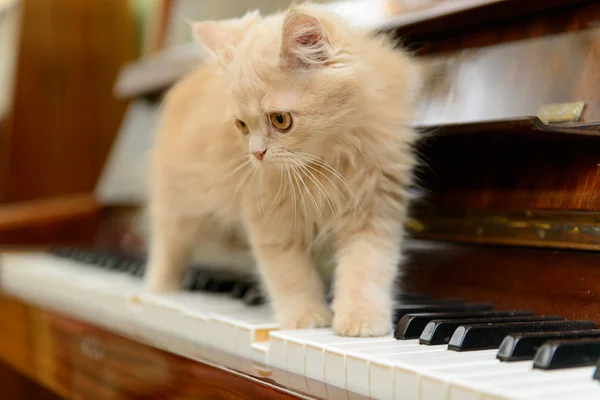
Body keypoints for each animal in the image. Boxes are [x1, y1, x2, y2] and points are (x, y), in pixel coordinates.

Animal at [144, 2, 422, 338]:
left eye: (280, 120)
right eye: (241, 125)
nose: (256, 153)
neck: (323, 164)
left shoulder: (374, 208)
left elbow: (366, 268)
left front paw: (361, 319)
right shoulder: (271, 220)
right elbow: (290, 275)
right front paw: (306, 317)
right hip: (179, 204)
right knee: (167, 246)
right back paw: (156, 291)